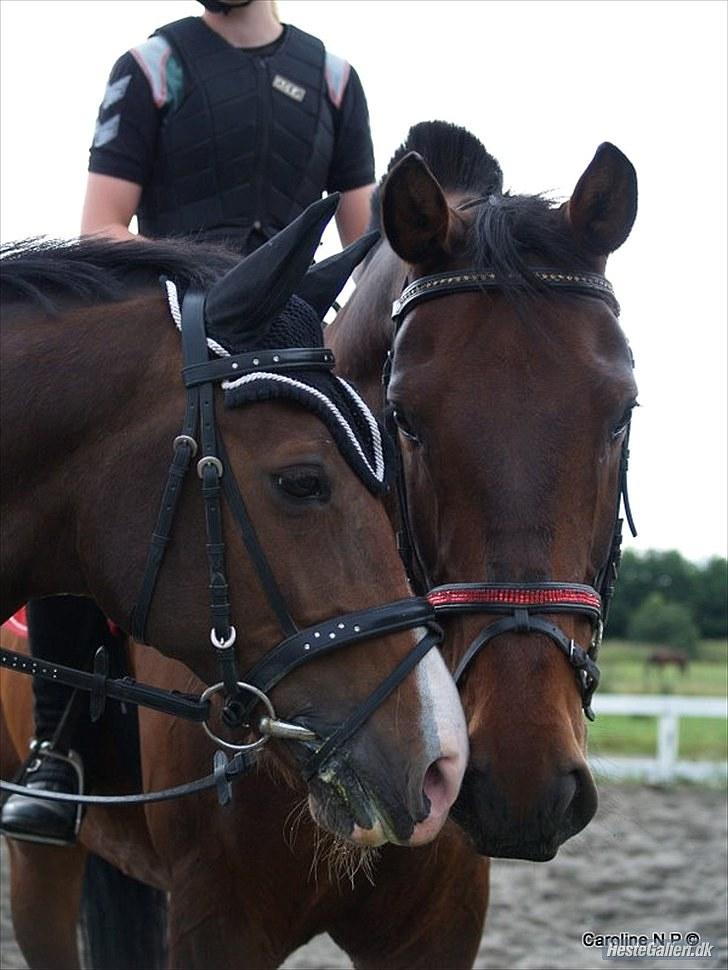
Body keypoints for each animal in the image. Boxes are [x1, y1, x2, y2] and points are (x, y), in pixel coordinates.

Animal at [1, 123, 636, 968]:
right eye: (404, 416)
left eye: (622, 411)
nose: (520, 781)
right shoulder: (216, 924)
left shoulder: (440, 928)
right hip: (43, 861)